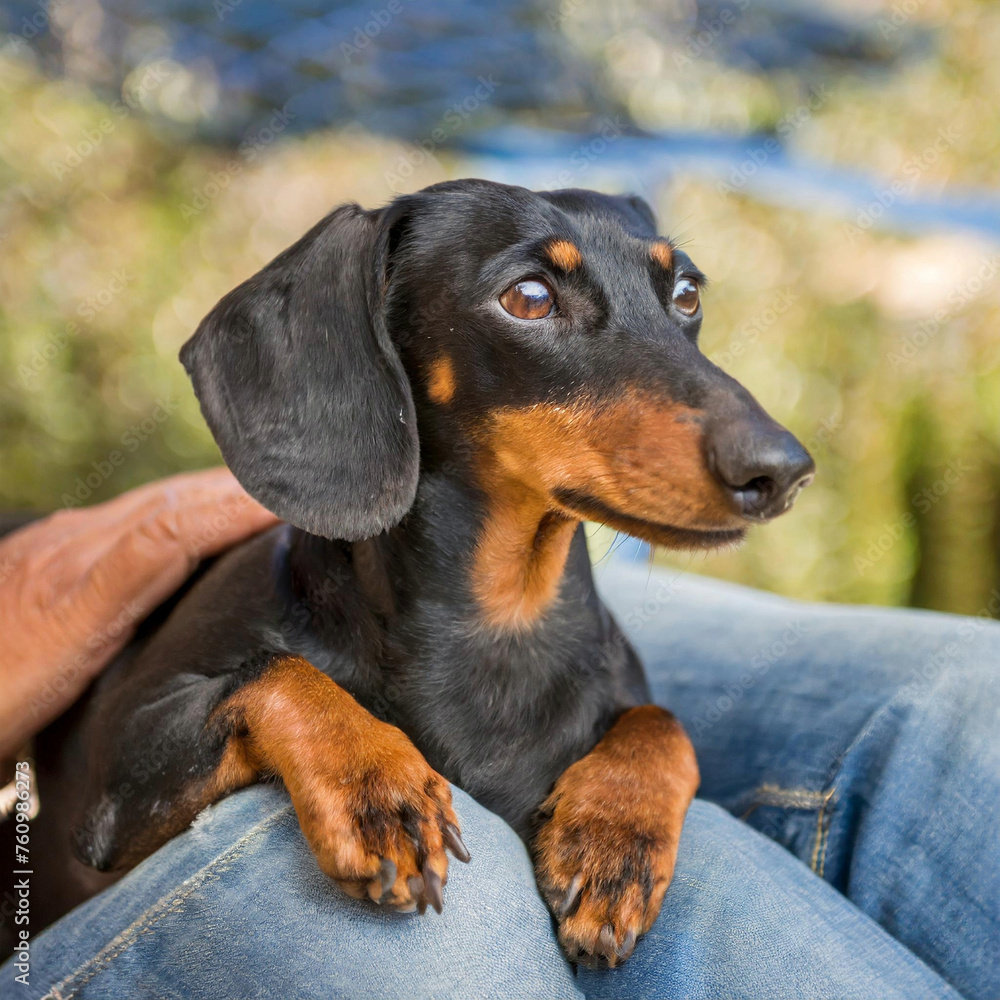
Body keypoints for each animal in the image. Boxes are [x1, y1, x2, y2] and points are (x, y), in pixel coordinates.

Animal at [72, 180, 820, 968]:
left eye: (686, 294)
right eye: (529, 297)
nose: (783, 470)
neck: (504, 623)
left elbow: (661, 720)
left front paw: (613, 835)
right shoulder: (109, 794)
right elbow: (275, 671)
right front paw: (376, 787)